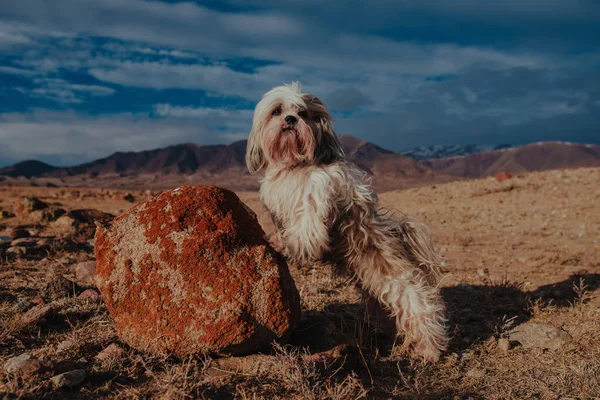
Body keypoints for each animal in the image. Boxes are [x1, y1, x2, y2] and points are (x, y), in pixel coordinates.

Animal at [246, 81, 448, 362]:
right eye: (277, 111)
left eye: (303, 112)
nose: (290, 119)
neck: (294, 166)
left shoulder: (314, 197)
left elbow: (307, 230)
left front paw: (283, 244)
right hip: (373, 285)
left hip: (398, 281)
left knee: (421, 304)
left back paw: (430, 349)